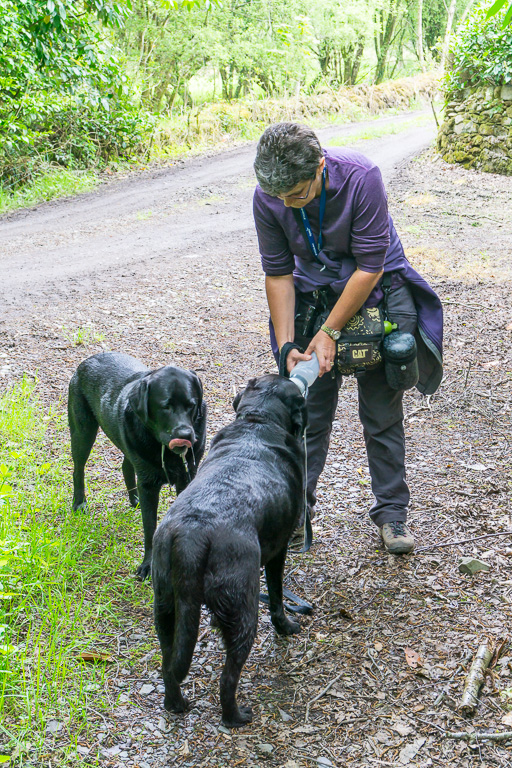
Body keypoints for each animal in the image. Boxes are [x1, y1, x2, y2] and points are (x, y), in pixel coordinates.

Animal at [69, 352, 207, 580]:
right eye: (165, 406)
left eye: (191, 405)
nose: (186, 435)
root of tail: (88, 360)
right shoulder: (149, 486)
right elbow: (150, 527)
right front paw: (148, 565)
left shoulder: (187, 478)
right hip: (83, 432)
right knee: (78, 470)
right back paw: (79, 503)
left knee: (126, 465)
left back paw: (134, 500)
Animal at [150, 376, 306, 728]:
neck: (257, 422)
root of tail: (192, 537)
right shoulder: (278, 552)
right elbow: (278, 596)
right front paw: (286, 627)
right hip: (243, 609)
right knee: (227, 678)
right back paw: (236, 716)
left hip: (165, 607)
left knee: (169, 664)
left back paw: (176, 703)